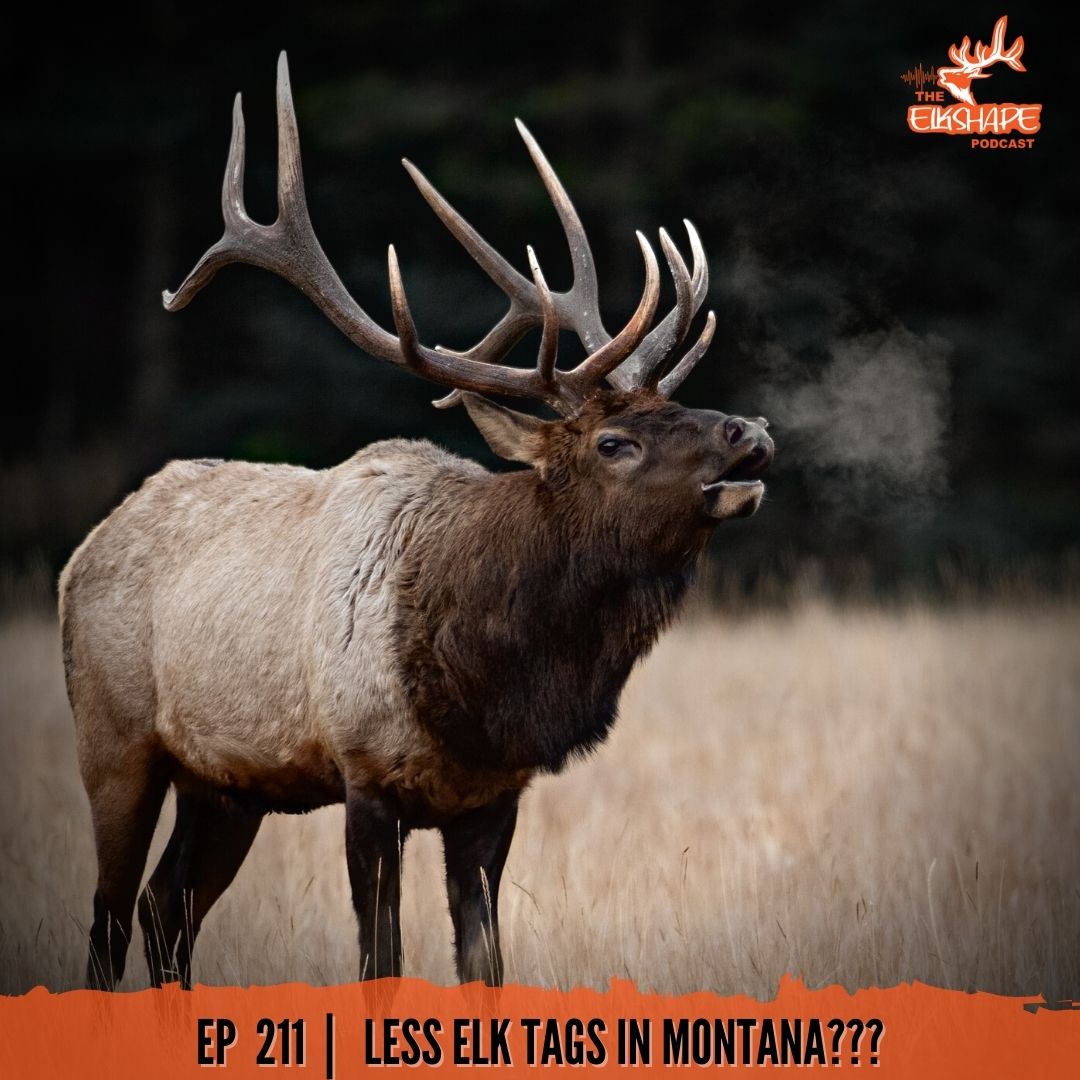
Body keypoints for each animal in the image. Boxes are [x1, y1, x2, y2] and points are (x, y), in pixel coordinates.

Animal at [59, 54, 773, 992]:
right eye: (614, 441)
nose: (750, 432)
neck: (484, 686)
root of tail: (79, 555)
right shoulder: (365, 774)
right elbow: (382, 963)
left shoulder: (492, 798)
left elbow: (485, 967)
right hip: (117, 741)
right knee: (108, 919)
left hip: (227, 783)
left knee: (164, 907)